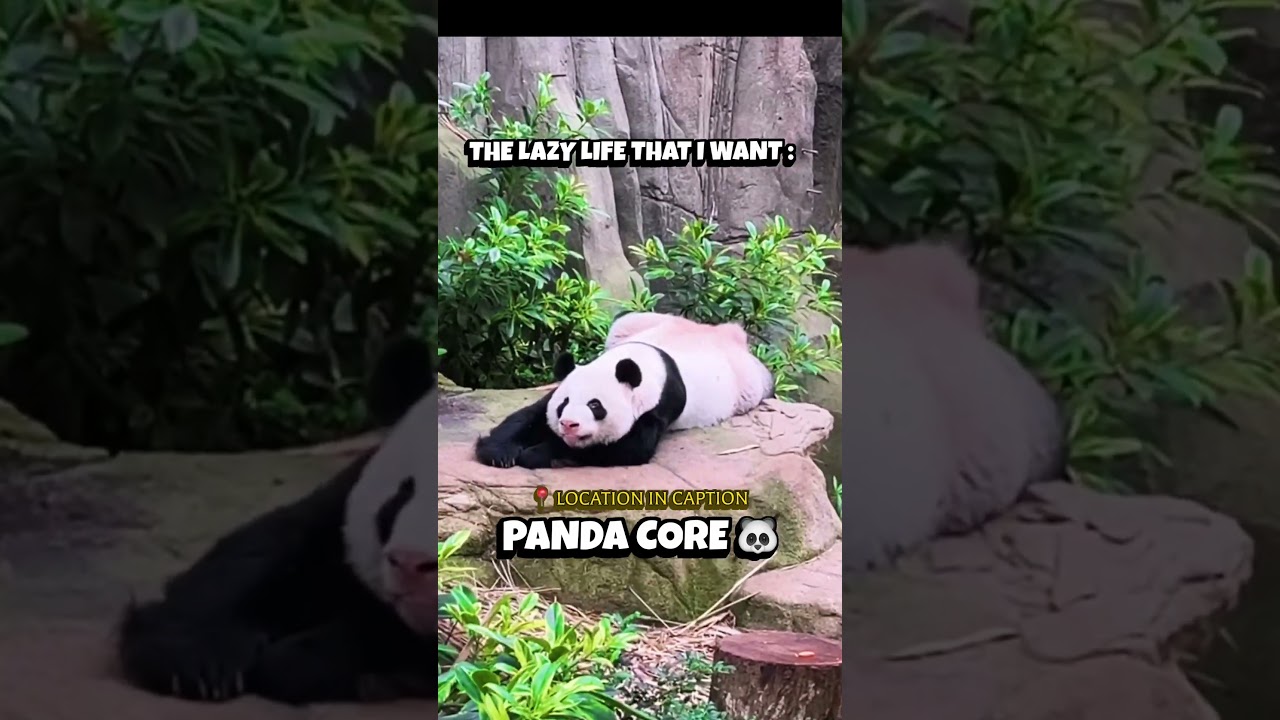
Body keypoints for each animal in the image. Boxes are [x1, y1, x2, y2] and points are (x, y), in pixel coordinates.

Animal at [116, 336, 440, 705]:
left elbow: (383, 636)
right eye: (403, 493)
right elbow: (273, 546)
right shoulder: (339, 512)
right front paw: (198, 662)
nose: (411, 563)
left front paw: (295, 661)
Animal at [474, 312, 774, 469]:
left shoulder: (657, 406)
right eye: (565, 404)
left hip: (746, 381)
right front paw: (499, 453)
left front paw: (535, 453)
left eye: (595, 406)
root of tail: (726, 333)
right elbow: (528, 416)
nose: (568, 424)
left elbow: (626, 449)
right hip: (635, 322)